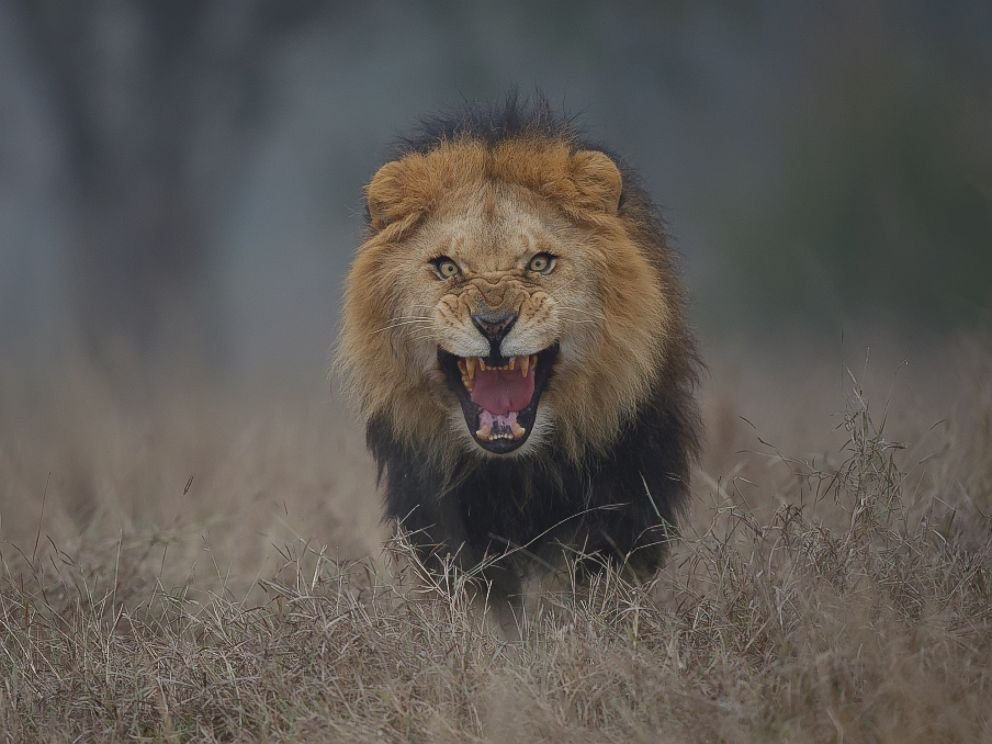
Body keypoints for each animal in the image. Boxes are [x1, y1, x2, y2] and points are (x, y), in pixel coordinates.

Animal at [336, 97, 701, 621]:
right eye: (446, 267)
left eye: (540, 263)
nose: (493, 324)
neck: (518, 469)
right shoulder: (441, 512)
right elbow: (481, 600)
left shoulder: (624, 496)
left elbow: (582, 586)